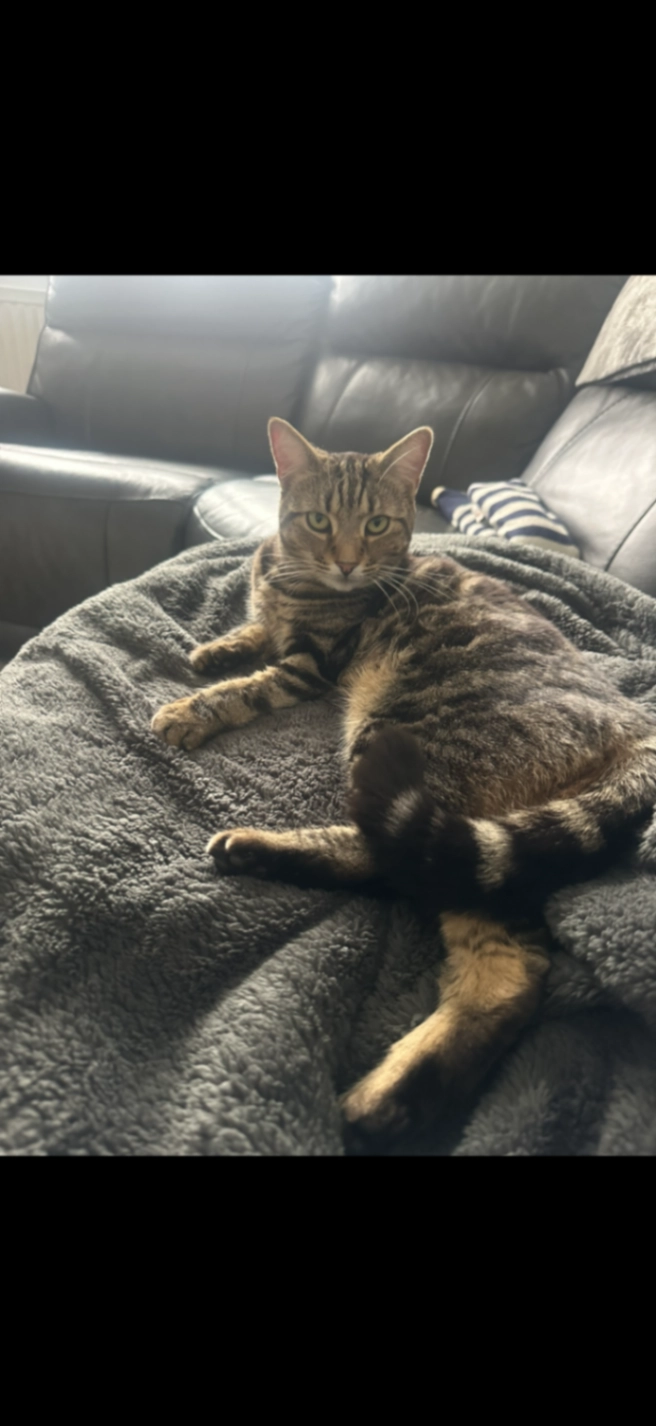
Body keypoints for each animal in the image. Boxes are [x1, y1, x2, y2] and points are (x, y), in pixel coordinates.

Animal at [151, 418, 656, 1149]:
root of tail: (635, 725)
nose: (347, 563)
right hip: (497, 852)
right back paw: (395, 1099)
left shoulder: (310, 667)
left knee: (389, 859)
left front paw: (191, 710)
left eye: (379, 524)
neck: (291, 571)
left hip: (405, 747)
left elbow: (251, 686)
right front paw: (217, 646)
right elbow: (253, 631)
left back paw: (255, 849)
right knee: (511, 971)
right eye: (320, 520)